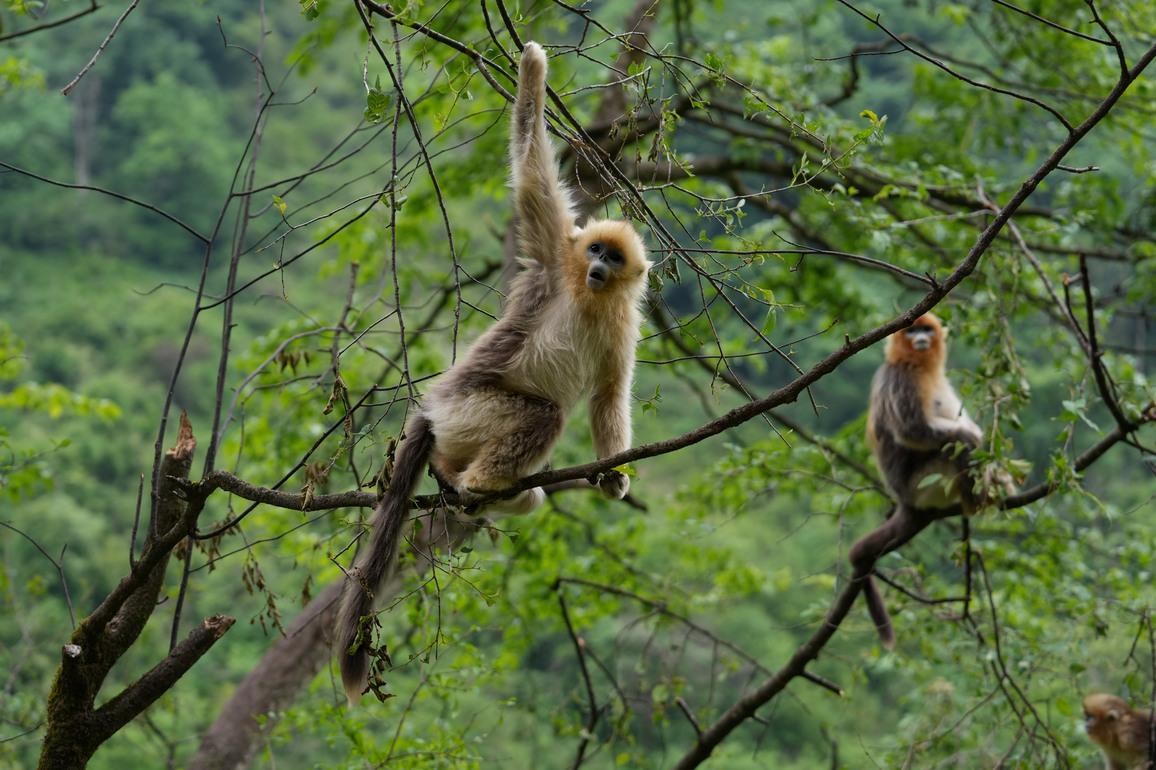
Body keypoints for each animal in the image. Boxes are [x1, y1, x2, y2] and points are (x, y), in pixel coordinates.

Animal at [335, 41, 651, 707]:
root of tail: (431, 411)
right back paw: (472, 481)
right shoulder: (555, 253)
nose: (598, 267)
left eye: (614, 258)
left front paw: (612, 476)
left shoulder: (622, 326)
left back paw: (483, 492)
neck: (588, 299)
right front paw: (533, 70)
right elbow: (533, 176)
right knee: (545, 414)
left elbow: (610, 395)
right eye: (594, 251)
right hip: (468, 410)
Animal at [848, 313, 1013, 649]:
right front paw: (976, 443)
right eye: (912, 331)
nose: (921, 338)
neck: (917, 366)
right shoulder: (898, 379)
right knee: (954, 445)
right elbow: (913, 430)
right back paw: (976, 500)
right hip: (924, 485)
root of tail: (904, 499)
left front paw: (1000, 470)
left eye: (926, 330)